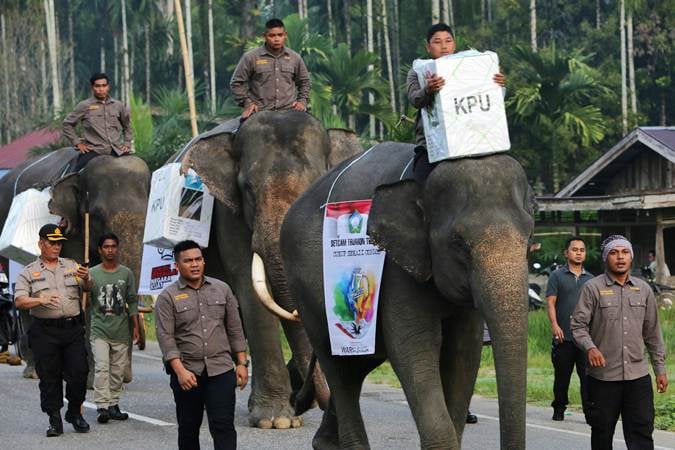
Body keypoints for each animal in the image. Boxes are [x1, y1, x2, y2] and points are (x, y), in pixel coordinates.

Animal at [274, 142, 532, 448]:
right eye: (459, 244)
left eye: (530, 236)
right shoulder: (396, 271)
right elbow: (414, 348)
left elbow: (463, 352)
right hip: (304, 291)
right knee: (340, 369)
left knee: (358, 366)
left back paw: (325, 443)